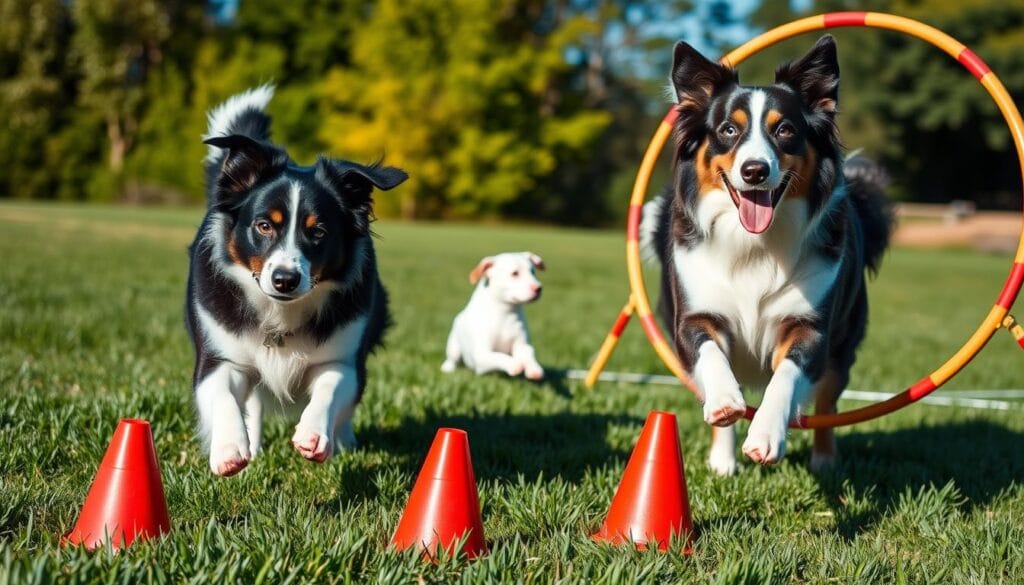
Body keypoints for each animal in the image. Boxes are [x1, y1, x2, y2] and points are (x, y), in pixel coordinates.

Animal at [184, 86, 407, 475]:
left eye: (318, 232)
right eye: (264, 225)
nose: (285, 280)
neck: (280, 311)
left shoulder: (343, 356)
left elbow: (332, 388)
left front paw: (314, 435)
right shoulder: (219, 354)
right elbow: (222, 393)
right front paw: (229, 448)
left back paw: (342, 440)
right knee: (253, 401)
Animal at [643, 36, 892, 475]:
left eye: (785, 129)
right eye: (728, 129)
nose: (755, 170)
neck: (753, 245)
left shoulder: (810, 328)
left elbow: (786, 377)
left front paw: (766, 434)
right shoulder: (693, 317)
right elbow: (709, 355)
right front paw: (725, 402)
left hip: (843, 344)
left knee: (827, 402)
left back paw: (824, 460)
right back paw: (722, 461)